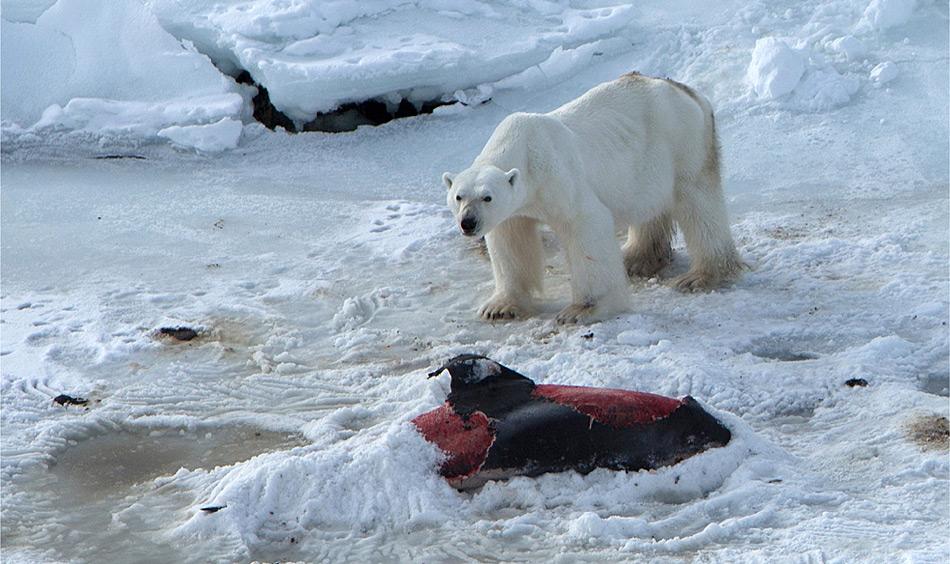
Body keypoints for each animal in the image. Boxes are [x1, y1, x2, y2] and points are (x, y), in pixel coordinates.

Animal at [442, 72, 748, 324]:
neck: (523, 148)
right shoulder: (515, 209)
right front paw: (499, 307)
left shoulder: (557, 178)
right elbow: (510, 240)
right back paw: (635, 258)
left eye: (487, 197)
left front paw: (582, 310)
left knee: (699, 202)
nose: (468, 223)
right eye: (459, 197)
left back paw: (701, 275)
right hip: (645, 167)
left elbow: (585, 225)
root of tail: (689, 92)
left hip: (682, 143)